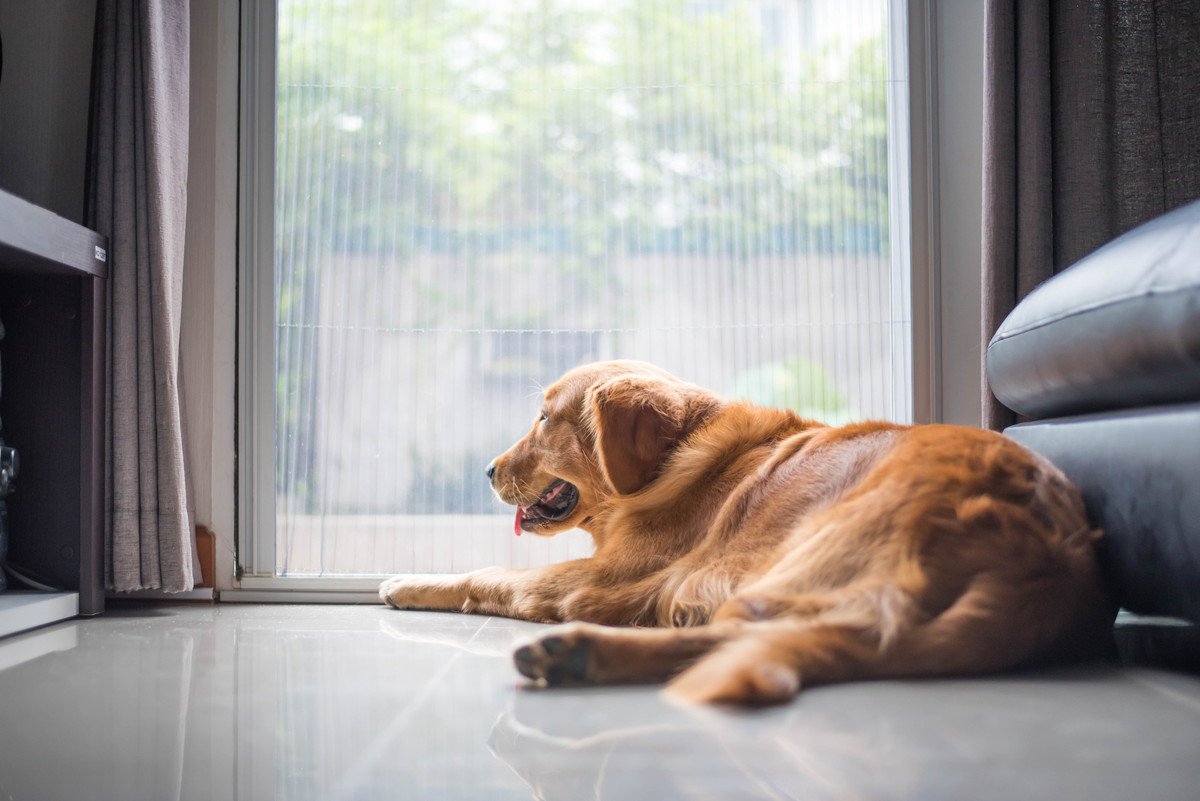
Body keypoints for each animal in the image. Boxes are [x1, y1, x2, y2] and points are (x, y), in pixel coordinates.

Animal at [376, 359, 1113, 705]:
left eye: (543, 418)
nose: (487, 470)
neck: (669, 463)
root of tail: (1049, 552)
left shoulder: (602, 581)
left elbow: (489, 573)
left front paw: (405, 581)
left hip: (801, 557)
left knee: (743, 637)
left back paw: (577, 653)